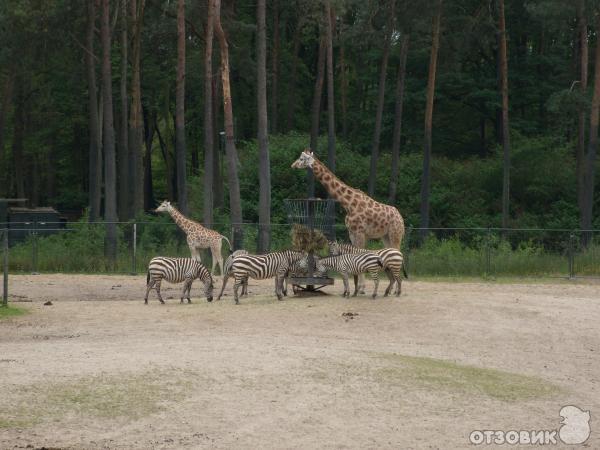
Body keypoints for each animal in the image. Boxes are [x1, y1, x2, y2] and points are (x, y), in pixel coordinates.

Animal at [292, 149, 406, 292]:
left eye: (301, 158)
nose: (293, 165)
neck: (348, 204)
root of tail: (401, 218)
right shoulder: (351, 232)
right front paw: (359, 287)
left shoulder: (360, 232)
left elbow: (360, 253)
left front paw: (361, 288)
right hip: (385, 236)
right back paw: (390, 289)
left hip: (395, 233)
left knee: (398, 252)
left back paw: (395, 289)